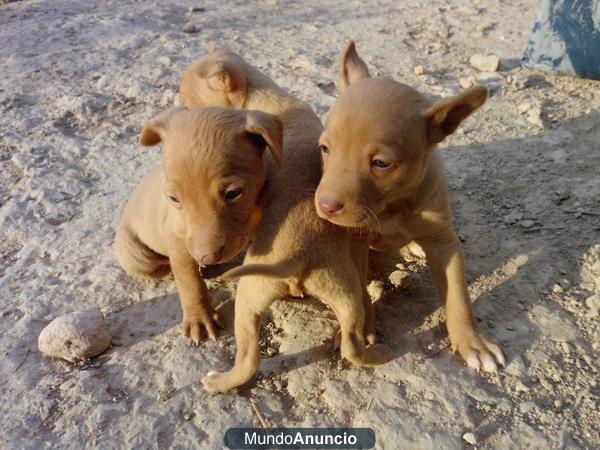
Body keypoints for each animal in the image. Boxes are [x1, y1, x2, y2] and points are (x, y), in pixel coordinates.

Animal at [180, 48, 392, 394]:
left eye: (188, 103)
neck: (265, 96)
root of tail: (297, 256)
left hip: (248, 298)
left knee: (248, 358)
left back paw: (217, 381)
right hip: (345, 294)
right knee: (351, 344)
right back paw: (379, 353)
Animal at [316, 42, 504, 372]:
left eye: (381, 163)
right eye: (325, 148)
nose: (326, 206)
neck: (393, 205)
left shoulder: (444, 243)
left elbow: (459, 296)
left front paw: (473, 341)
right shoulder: (355, 241)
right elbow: (360, 293)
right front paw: (360, 332)